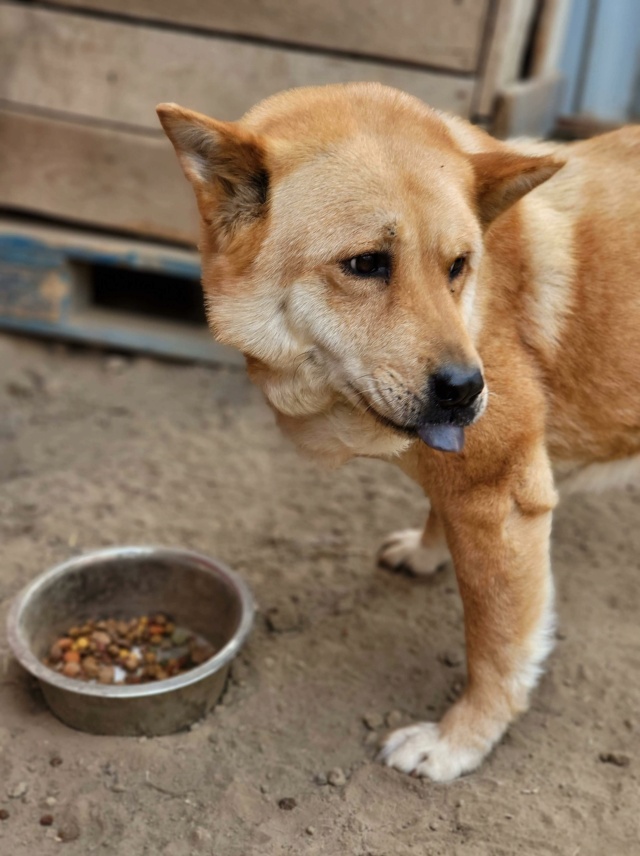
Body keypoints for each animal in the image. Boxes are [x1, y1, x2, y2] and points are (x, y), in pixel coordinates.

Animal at [156, 85, 640, 784]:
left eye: (458, 266)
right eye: (365, 264)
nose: (468, 389)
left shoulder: (501, 498)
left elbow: (495, 642)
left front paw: (460, 740)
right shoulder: (461, 476)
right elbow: (440, 508)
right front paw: (427, 549)